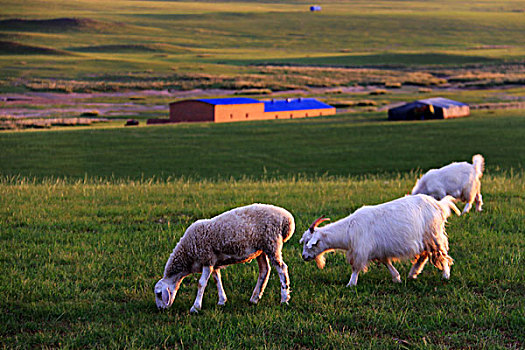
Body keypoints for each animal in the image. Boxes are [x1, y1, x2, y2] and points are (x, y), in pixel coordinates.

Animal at [155, 202, 294, 314]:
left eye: (159, 294)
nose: (160, 309)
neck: (187, 255)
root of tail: (287, 218)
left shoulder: (207, 258)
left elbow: (201, 284)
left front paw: (195, 307)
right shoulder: (213, 262)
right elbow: (217, 280)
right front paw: (222, 301)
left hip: (272, 244)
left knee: (282, 269)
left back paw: (284, 299)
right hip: (261, 249)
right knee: (264, 270)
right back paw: (254, 299)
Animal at [298, 194, 458, 288]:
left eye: (309, 243)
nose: (304, 257)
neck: (349, 229)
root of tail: (438, 205)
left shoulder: (361, 250)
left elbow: (355, 267)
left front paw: (351, 284)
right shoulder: (377, 250)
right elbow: (386, 262)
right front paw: (397, 278)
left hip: (434, 235)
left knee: (442, 255)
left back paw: (445, 275)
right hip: (425, 240)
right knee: (425, 255)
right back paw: (413, 273)